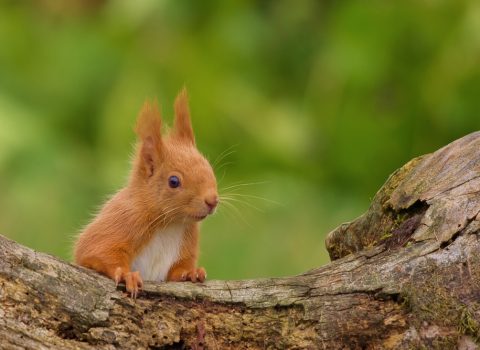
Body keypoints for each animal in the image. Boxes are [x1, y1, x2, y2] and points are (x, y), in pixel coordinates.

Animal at [74, 89, 219, 296]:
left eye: (209, 167)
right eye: (174, 181)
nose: (212, 201)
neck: (170, 223)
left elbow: (178, 271)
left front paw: (191, 272)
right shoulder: (123, 219)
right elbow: (96, 250)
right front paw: (127, 275)